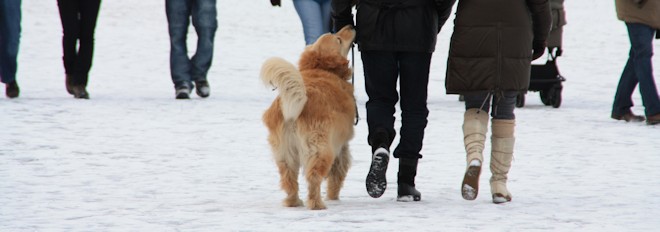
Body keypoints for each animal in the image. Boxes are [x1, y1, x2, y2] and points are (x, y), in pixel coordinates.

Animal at [260, 25, 358, 210]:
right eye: (338, 39)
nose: (350, 25)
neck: (321, 69)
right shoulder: (341, 146)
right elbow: (337, 174)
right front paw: (333, 197)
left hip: (285, 154)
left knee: (289, 179)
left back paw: (293, 202)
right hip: (321, 149)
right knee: (313, 177)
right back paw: (317, 204)